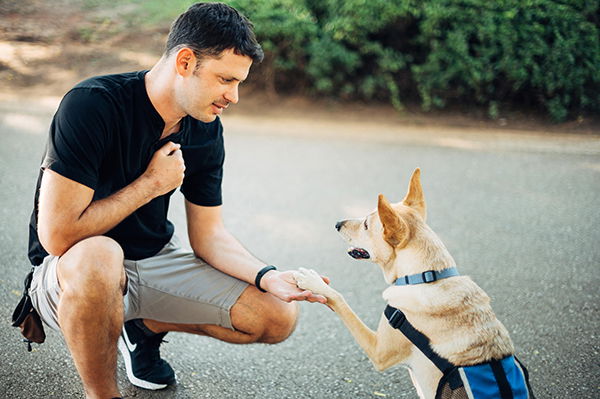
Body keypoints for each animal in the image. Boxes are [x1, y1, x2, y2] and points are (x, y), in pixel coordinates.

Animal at [292, 170, 532, 399]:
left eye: (367, 224)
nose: (337, 223)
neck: (426, 276)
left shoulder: (378, 350)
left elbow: (341, 301)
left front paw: (313, 281)